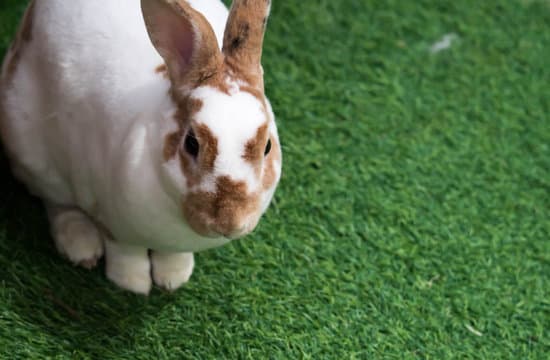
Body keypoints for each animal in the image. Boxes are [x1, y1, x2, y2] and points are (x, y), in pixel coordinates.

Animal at [0, 0, 282, 292]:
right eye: (191, 143)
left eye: (267, 146)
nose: (230, 221)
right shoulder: (112, 222)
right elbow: (126, 253)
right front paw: (132, 284)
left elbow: (173, 256)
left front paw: (173, 278)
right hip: (31, 153)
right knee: (56, 203)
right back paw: (81, 246)